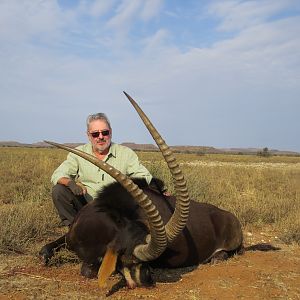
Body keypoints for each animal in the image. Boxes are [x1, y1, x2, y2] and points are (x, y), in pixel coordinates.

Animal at [39, 92, 245, 288]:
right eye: (128, 258)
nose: (148, 279)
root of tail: (230, 216)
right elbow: (46, 250)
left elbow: (88, 270)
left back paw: (217, 257)